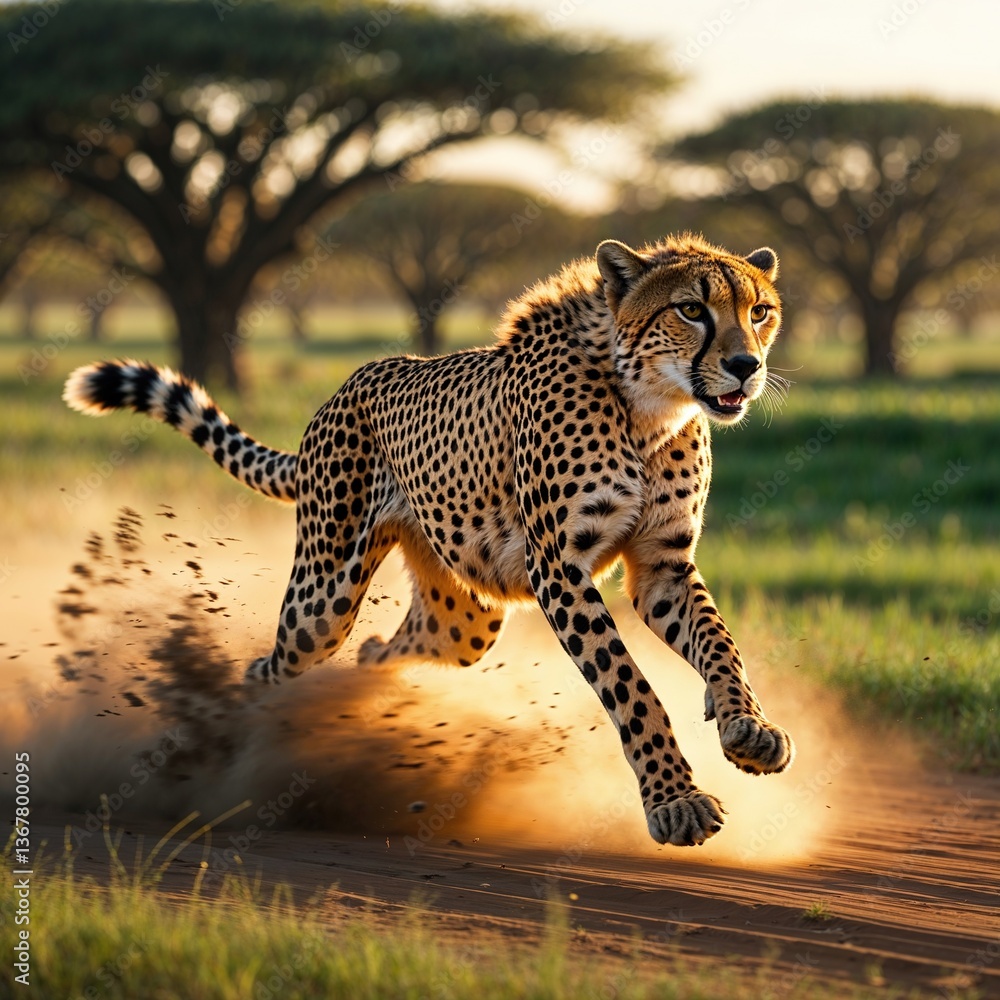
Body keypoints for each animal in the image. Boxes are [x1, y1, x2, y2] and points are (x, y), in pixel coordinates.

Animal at [64, 232, 794, 847]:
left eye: (759, 311)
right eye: (691, 309)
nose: (744, 365)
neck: (648, 407)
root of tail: (349, 383)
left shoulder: (661, 566)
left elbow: (721, 646)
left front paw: (748, 726)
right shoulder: (560, 570)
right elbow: (631, 688)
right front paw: (676, 800)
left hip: (467, 619)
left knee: (379, 652)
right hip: (321, 601)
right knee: (269, 668)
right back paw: (235, 749)